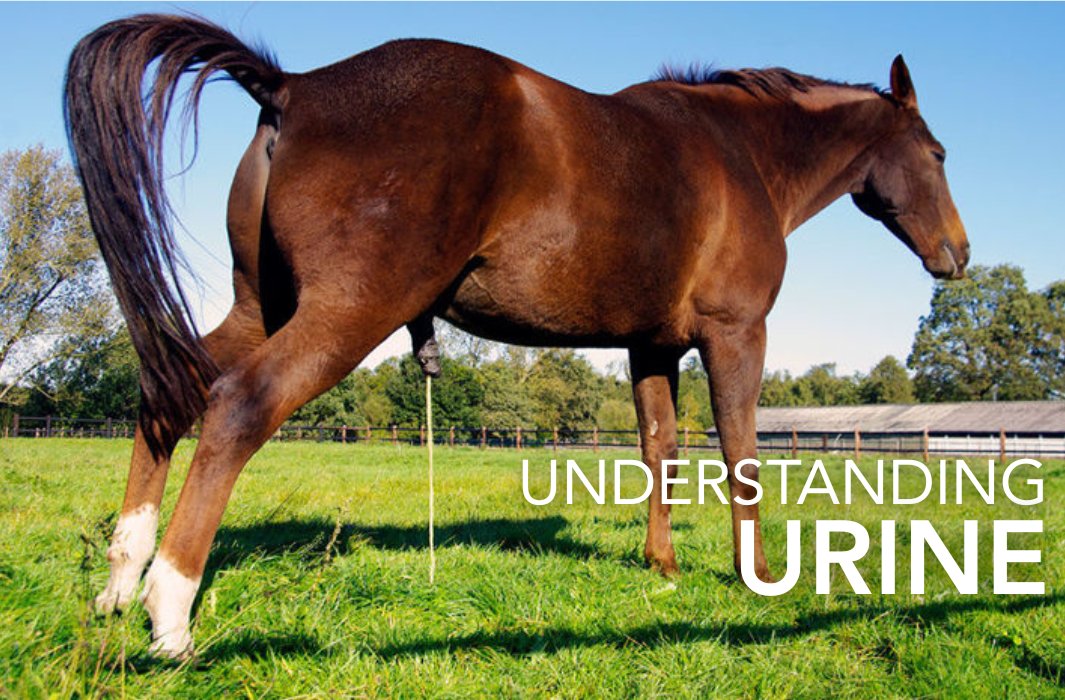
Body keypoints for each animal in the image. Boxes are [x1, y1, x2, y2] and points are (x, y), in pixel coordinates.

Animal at [65, 14, 969, 658]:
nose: (957, 254)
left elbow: (660, 451)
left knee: (168, 394)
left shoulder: (651, 346)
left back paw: (119, 583)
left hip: (260, 307)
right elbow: (739, 454)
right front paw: (759, 578)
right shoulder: (734, 335)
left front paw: (662, 566)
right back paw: (169, 613)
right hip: (343, 315)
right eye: (935, 152)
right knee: (237, 407)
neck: (734, 153)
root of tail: (296, 86)